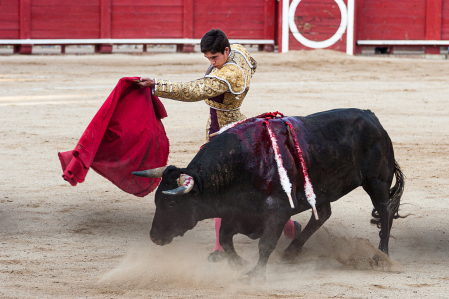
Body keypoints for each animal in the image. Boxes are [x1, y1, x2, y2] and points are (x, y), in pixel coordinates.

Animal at [132, 109, 402, 282]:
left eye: (171, 203)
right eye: (156, 201)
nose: (154, 236)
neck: (242, 165)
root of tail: (372, 117)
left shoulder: (277, 211)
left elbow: (265, 244)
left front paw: (255, 274)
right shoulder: (238, 213)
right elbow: (226, 238)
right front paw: (239, 264)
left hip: (376, 182)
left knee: (385, 212)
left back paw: (382, 256)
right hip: (322, 190)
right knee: (322, 215)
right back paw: (291, 252)